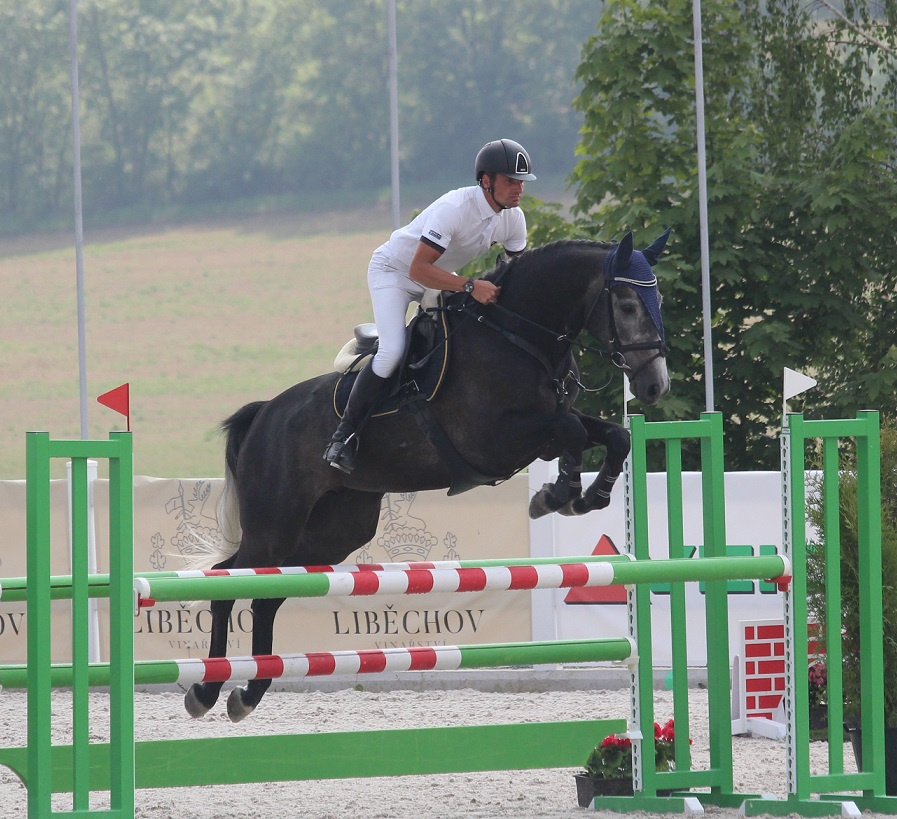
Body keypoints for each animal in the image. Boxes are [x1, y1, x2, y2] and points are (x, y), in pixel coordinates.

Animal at [185, 230, 671, 722]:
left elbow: (613, 436)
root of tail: (266, 412)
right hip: (275, 524)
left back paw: (246, 693)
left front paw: (587, 497)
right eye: (627, 305)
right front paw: (558, 495)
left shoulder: (544, 426)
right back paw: (206, 691)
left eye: (659, 300)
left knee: (268, 593)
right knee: (229, 580)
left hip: (334, 531)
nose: (655, 386)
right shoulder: (494, 440)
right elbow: (571, 431)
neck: (519, 336)